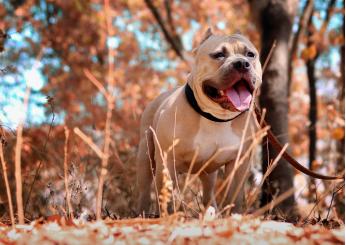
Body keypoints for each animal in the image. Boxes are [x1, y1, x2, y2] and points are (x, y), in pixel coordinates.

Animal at [135, 28, 262, 215]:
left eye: (250, 54)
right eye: (219, 55)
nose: (241, 63)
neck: (216, 118)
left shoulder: (239, 164)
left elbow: (235, 196)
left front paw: (234, 215)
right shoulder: (167, 160)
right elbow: (168, 196)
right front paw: (170, 216)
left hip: (209, 174)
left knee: (208, 193)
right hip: (146, 158)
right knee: (144, 189)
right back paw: (141, 214)